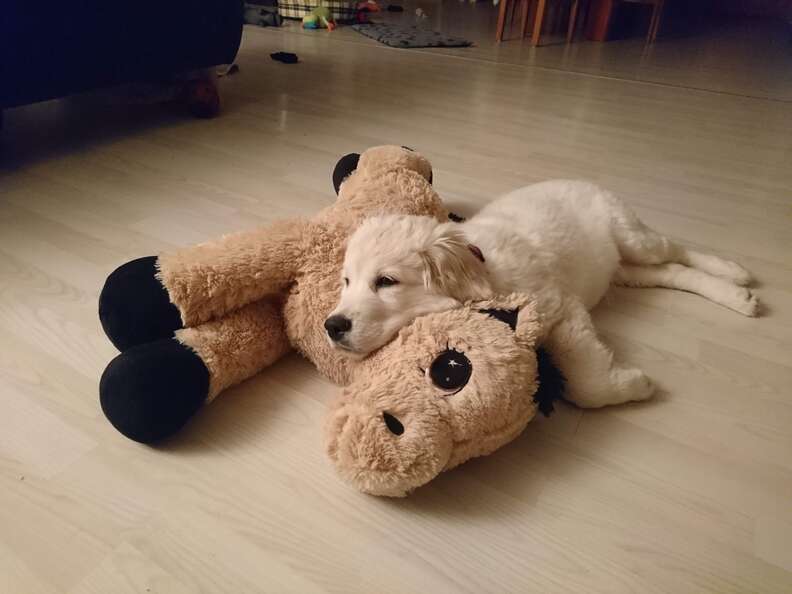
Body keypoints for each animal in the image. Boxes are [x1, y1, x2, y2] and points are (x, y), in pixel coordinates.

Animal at [324, 178, 756, 404]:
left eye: (386, 282)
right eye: (346, 282)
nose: (332, 326)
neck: (483, 268)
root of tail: (582, 181)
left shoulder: (559, 306)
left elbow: (585, 381)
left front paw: (635, 385)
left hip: (632, 235)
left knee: (676, 250)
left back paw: (734, 276)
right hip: (625, 269)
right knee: (671, 272)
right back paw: (735, 294)